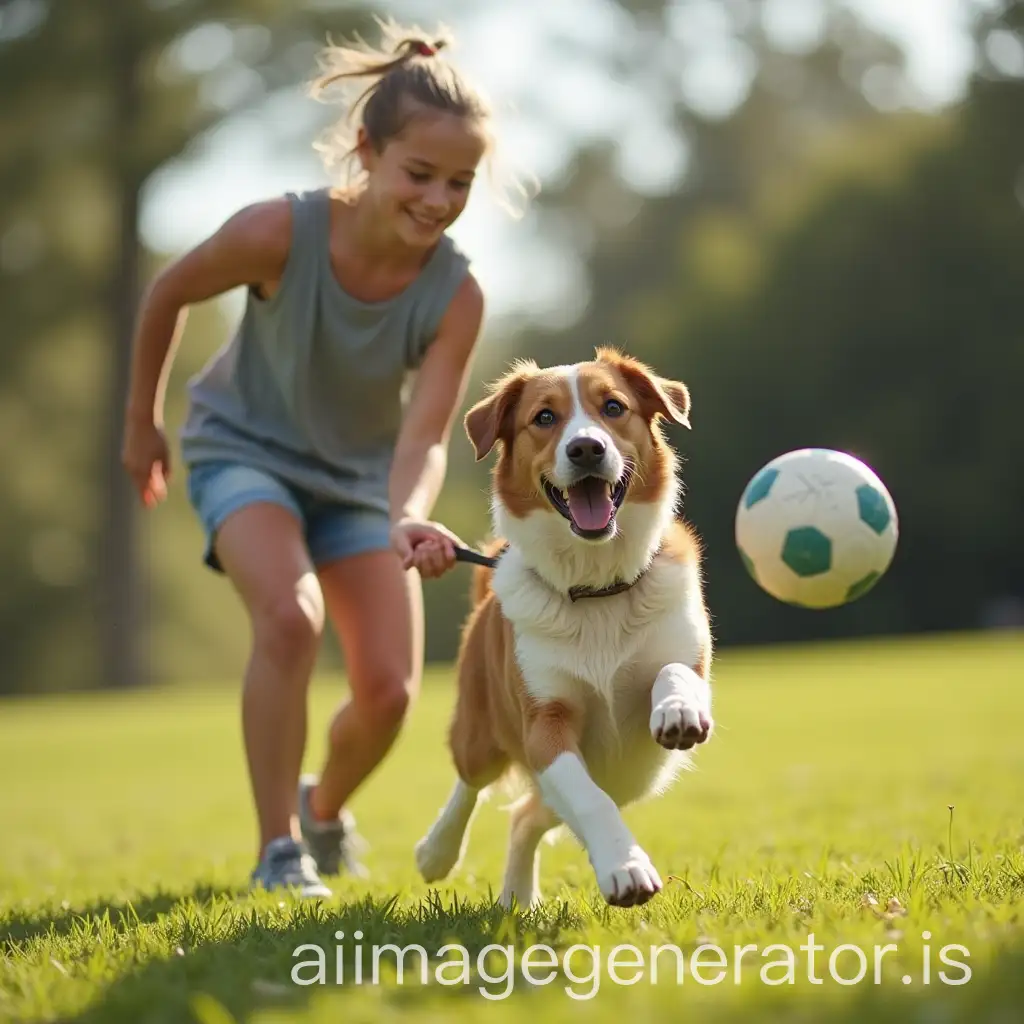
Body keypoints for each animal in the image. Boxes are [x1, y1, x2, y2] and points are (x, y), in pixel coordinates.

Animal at [413, 348, 712, 909]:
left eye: (613, 407)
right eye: (544, 418)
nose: (587, 448)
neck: (596, 589)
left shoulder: (686, 657)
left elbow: (675, 673)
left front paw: (677, 710)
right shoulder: (545, 724)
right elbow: (589, 801)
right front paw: (625, 868)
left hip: (630, 776)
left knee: (527, 817)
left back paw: (516, 896)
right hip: (481, 731)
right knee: (471, 782)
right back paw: (436, 851)